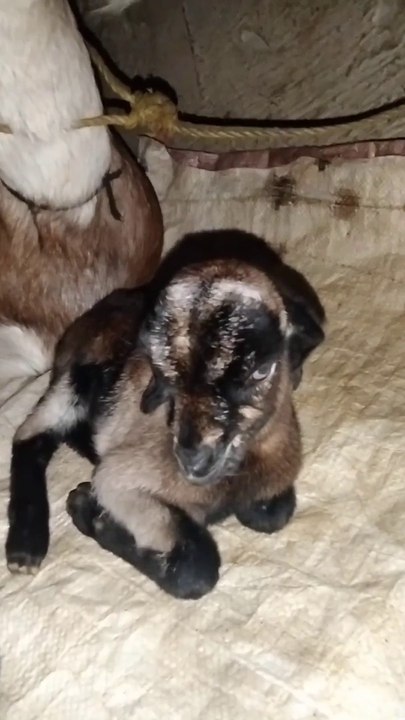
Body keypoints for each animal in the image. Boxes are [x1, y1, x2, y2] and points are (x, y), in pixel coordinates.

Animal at [6, 230, 325, 599]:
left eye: (261, 370)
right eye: (162, 368)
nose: (193, 458)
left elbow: (273, 514)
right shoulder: (122, 479)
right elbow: (196, 571)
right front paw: (88, 508)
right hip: (73, 380)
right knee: (31, 435)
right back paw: (25, 548)